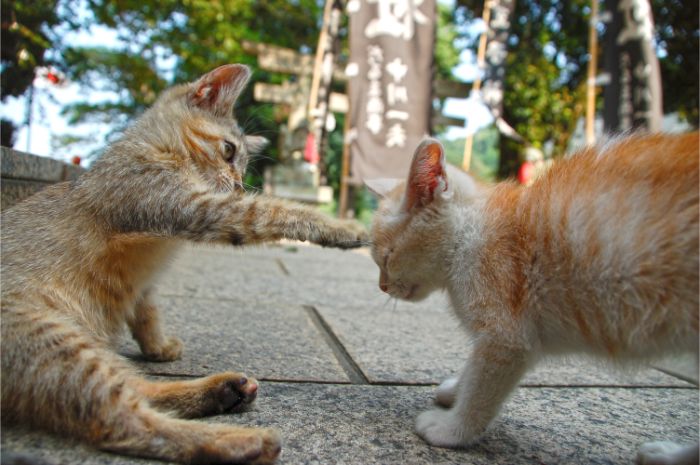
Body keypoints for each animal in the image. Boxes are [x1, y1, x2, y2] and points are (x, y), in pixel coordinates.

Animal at [0, 63, 370, 462]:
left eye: (243, 166)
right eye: (228, 151)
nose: (238, 186)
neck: (155, 148)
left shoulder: (144, 283)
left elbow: (147, 314)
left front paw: (157, 346)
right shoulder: (188, 206)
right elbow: (272, 210)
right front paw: (342, 227)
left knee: (138, 388)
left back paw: (224, 391)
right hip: (56, 342)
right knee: (126, 423)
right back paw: (241, 441)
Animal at [370, 134, 696, 464]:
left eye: (387, 258)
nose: (382, 287)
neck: (472, 235)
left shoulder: (507, 338)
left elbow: (481, 391)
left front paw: (452, 429)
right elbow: (473, 370)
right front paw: (456, 390)